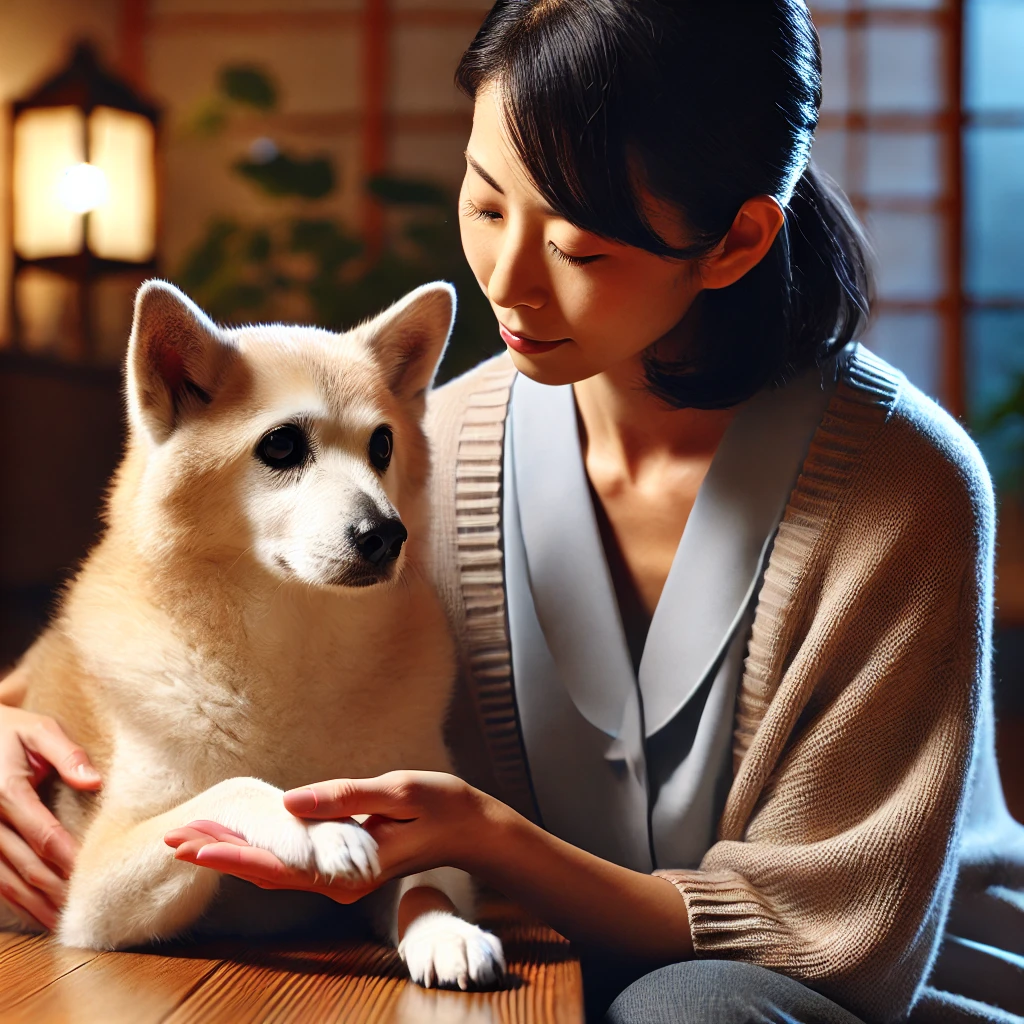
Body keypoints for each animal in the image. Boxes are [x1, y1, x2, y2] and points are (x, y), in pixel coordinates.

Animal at [4, 282, 505, 991]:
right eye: (283, 446)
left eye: (381, 446)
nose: (386, 534)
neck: (292, 644)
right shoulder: (94, 895)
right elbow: (232, 787)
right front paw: (314, 826)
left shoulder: (426, 820)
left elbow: (425, 883)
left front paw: (446, 931)